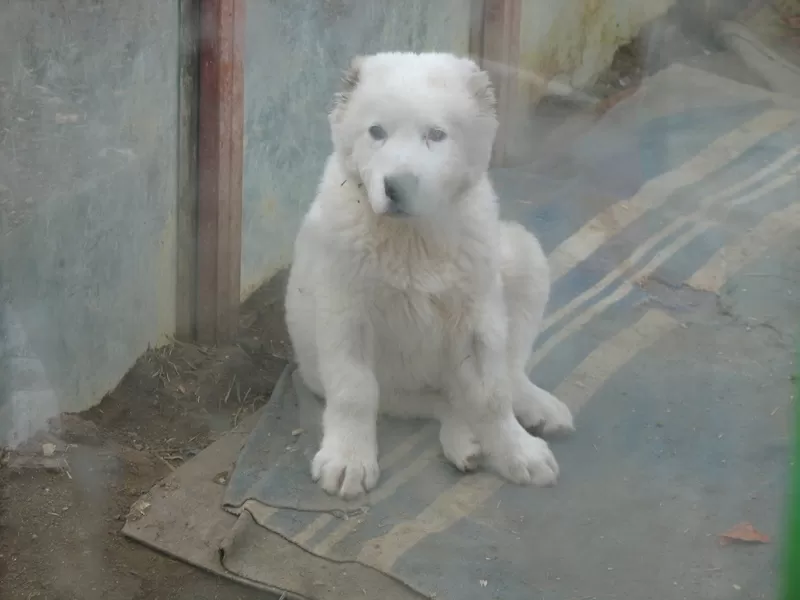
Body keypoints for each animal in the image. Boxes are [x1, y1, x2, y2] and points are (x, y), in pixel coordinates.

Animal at [284, 52, 572, 502]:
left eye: (436, 135)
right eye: (376, 132)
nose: (398, 187)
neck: (411, 238)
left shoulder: (477, 316)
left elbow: (492, 393)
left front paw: (517, 452)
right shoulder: (345, 311)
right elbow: (353, 390)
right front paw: (348, 461)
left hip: (523, 258)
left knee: (506, 373)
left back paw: (535, 409)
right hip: (393, 387)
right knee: (443, 403)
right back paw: (466, 441)